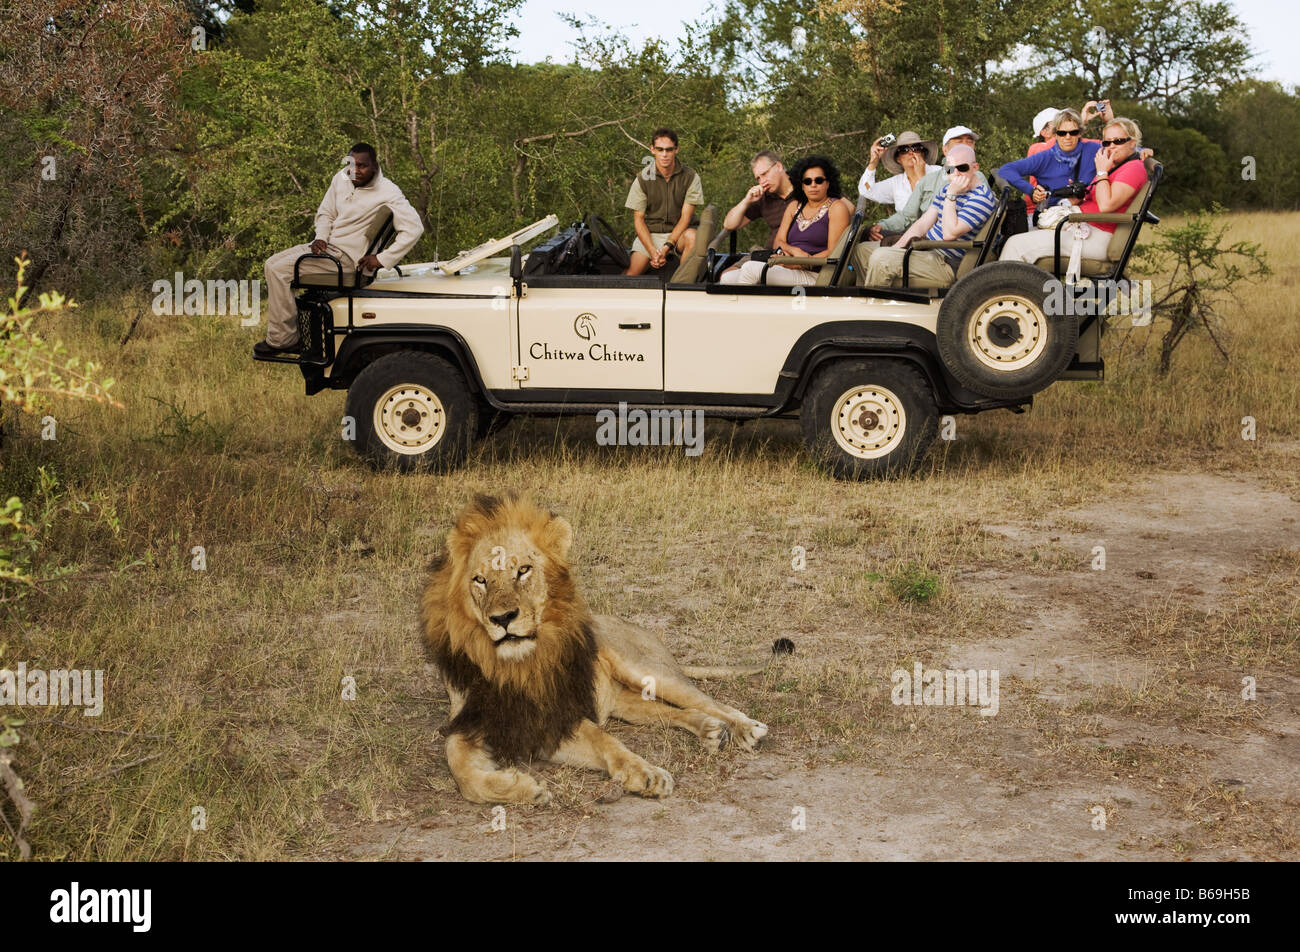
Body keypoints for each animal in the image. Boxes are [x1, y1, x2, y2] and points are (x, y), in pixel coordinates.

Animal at [420, 493, 770, 805]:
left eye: (523, 570)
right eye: (480, 580)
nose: (503, 618)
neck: (515, 666)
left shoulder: (558, 717)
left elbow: (605, 741)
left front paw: (647, 775)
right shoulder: (473, 721)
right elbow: (460, 769)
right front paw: (524, 790)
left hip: (646, 670)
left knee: (709, 701)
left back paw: (746, 729)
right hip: (624, 702)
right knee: (676, 711)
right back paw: (710, 730)